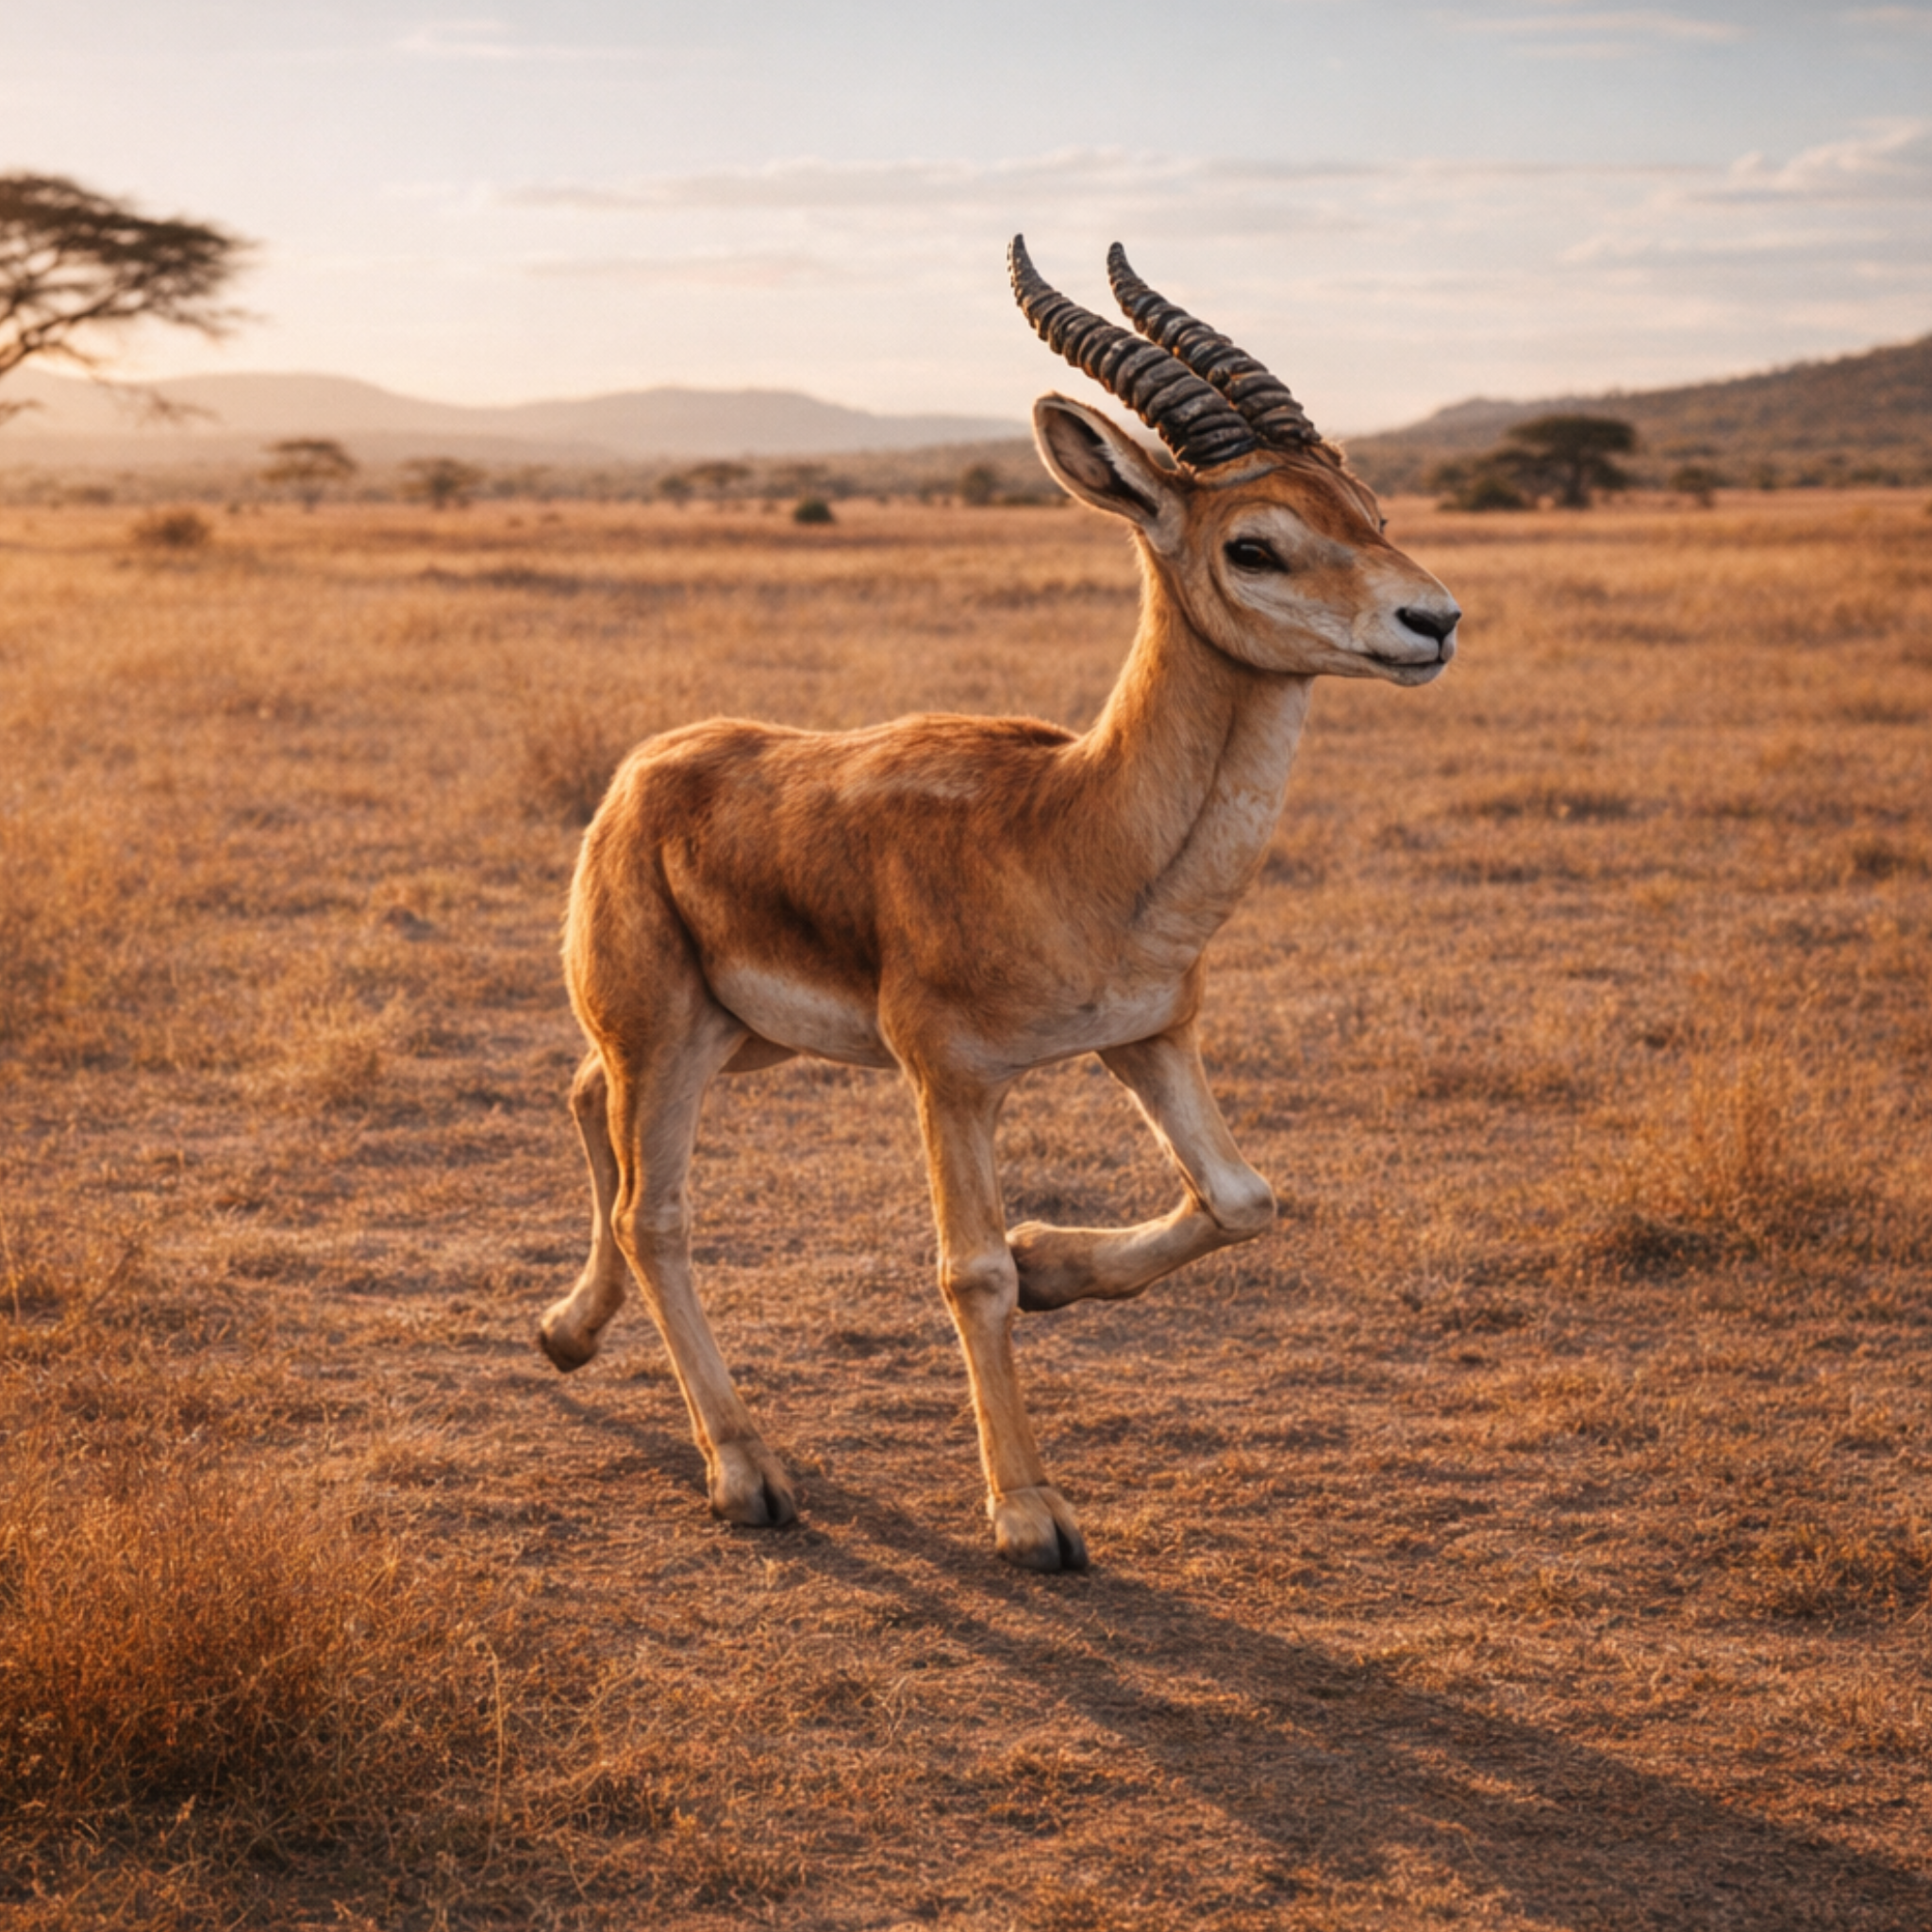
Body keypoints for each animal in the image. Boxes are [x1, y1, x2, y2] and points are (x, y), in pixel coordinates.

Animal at [538, 239, 1460, 1571]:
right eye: (1255, 544)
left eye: (1369, 512)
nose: (1430, 621)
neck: (1074, 834)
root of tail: (645, 770)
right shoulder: (953, 1078)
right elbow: (966, 1271)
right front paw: (1028, 1510)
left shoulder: (1148, 1035)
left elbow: (1240, 1196)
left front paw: (1050, 1264)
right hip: (668, 1033)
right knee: (652, 1208)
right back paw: (745, 1469)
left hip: (736, 1038)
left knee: (581, 1096)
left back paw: (565, 1332)